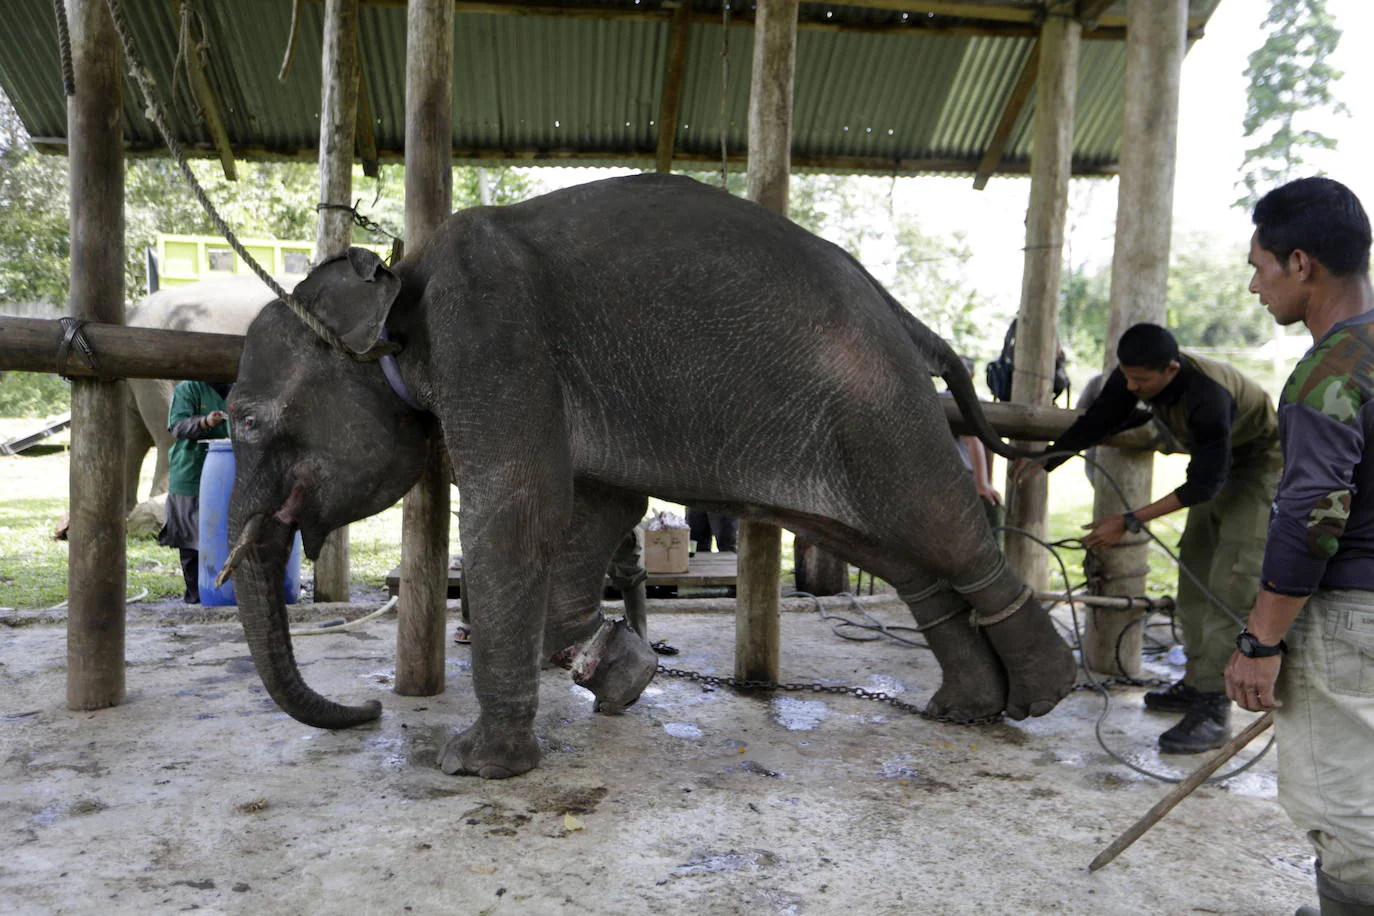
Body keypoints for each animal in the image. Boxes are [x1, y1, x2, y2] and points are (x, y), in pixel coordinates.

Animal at [219, 170, 1077, 774]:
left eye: (245, 421)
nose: (368, 710)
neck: (400, 276)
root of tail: (902, 311)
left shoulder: (491, 333)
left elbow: (517, 509)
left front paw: (475, 765)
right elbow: (597, 507)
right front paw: (624, 679)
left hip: (873, 396)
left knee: (935, 520)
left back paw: (1046, 692)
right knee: (894, 553)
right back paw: (966, 708)